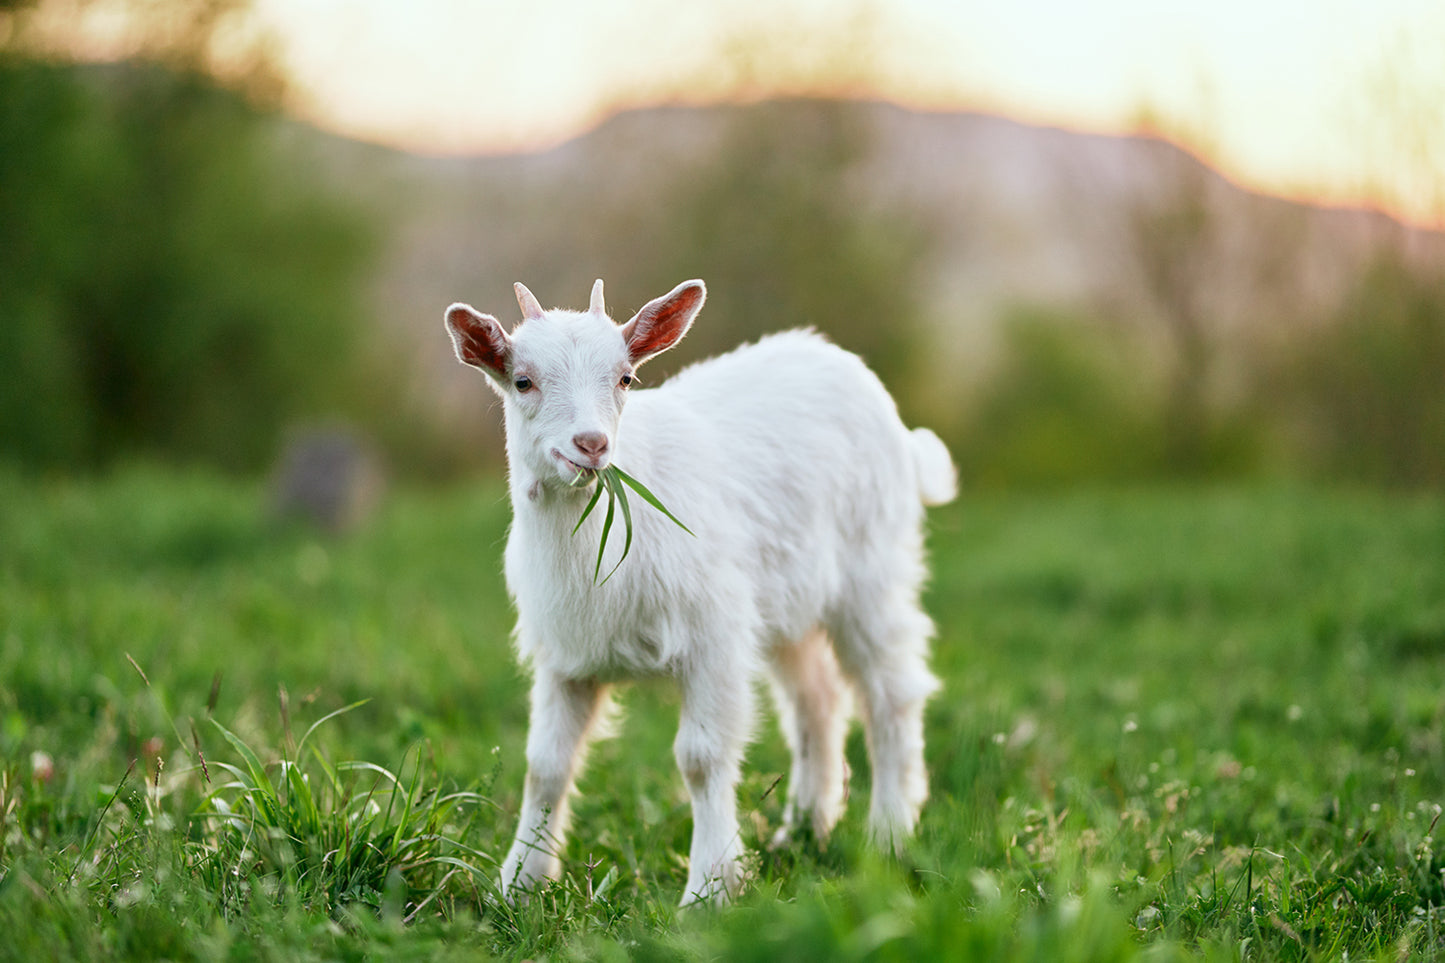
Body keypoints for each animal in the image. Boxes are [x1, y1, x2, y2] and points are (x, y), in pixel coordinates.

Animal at [444, 278, 956, 904]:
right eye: (523, 380)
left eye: (625, 378)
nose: (591, 444)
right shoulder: (566, 656)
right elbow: (546, 765)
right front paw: (518, 882)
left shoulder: (713, 638)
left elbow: (701, 758)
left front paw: (710, 889)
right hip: (787, 602)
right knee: (816, 699)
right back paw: (803, 831)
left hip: (872, 572)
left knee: (890, 693)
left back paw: (888, 835)